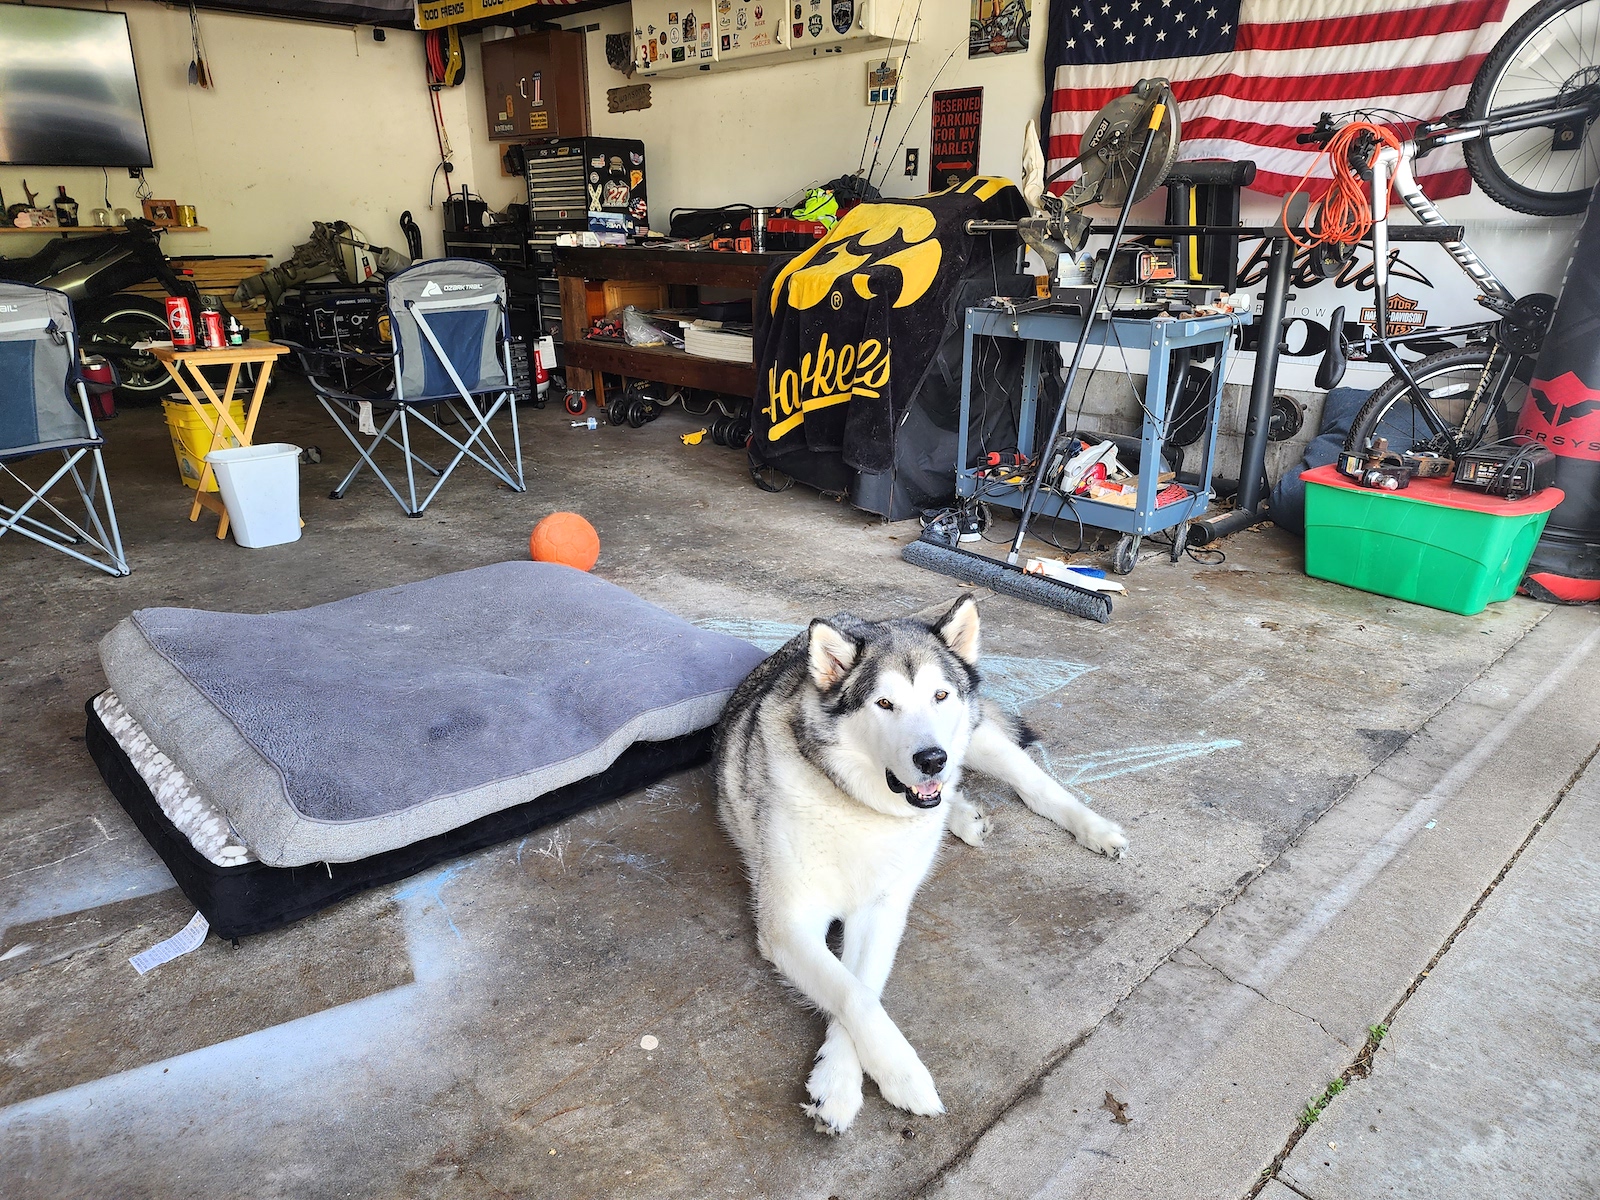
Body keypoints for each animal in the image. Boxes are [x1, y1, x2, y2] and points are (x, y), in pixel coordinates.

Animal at [713, 601, 1126, 1139]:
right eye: (884, 704)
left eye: (939, 695)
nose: (931, 758)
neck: (863, 810)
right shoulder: (787, 923)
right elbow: (856, 995)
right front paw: (883, 1078)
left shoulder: (882, 909)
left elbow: (863, 986)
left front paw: (849, 1078)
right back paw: (962, 815)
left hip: (980, 740)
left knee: (1034, 784)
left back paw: (1093, 829)